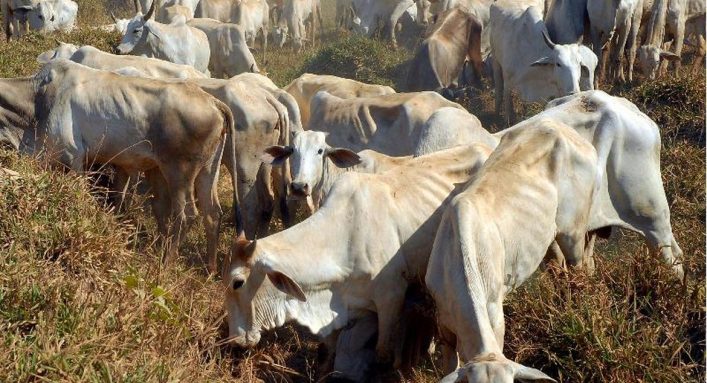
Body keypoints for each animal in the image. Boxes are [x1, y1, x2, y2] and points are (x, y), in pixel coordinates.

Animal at [0, 60, 239, 272]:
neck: (37, 101)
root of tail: (214, 103)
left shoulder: (73, 160)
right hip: (208, 170)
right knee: (212, 213)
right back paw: (209, 269)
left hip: (179, 172)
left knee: (186, 214)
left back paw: (166, 263)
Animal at [428, 120, 600, 380]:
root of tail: (560, 127)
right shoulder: (443, 323)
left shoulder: (496, 314)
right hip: (548, 235)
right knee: (560, 268)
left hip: (574, 231)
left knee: (580, 269)